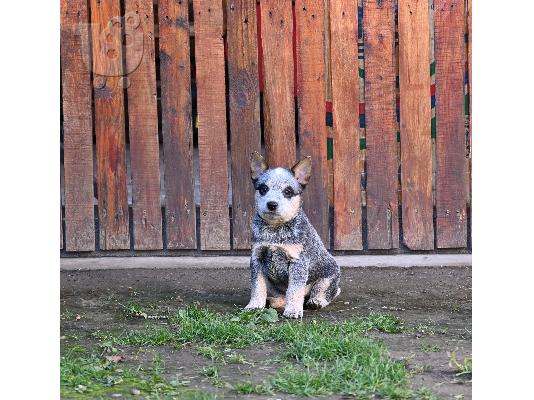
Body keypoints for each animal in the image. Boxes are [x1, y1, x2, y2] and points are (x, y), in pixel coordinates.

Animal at [245, 151, 342, 318]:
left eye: (288, 191)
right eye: (263, 188)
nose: (272, 204)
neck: (275, 231)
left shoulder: (298, 261)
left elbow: (295, 289)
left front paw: (293, 310)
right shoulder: (257, 257)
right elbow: (257, 286)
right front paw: (255, 305)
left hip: (330, 275)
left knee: (326, 291)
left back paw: (316, 301)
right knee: (282, 295)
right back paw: (274, 301)